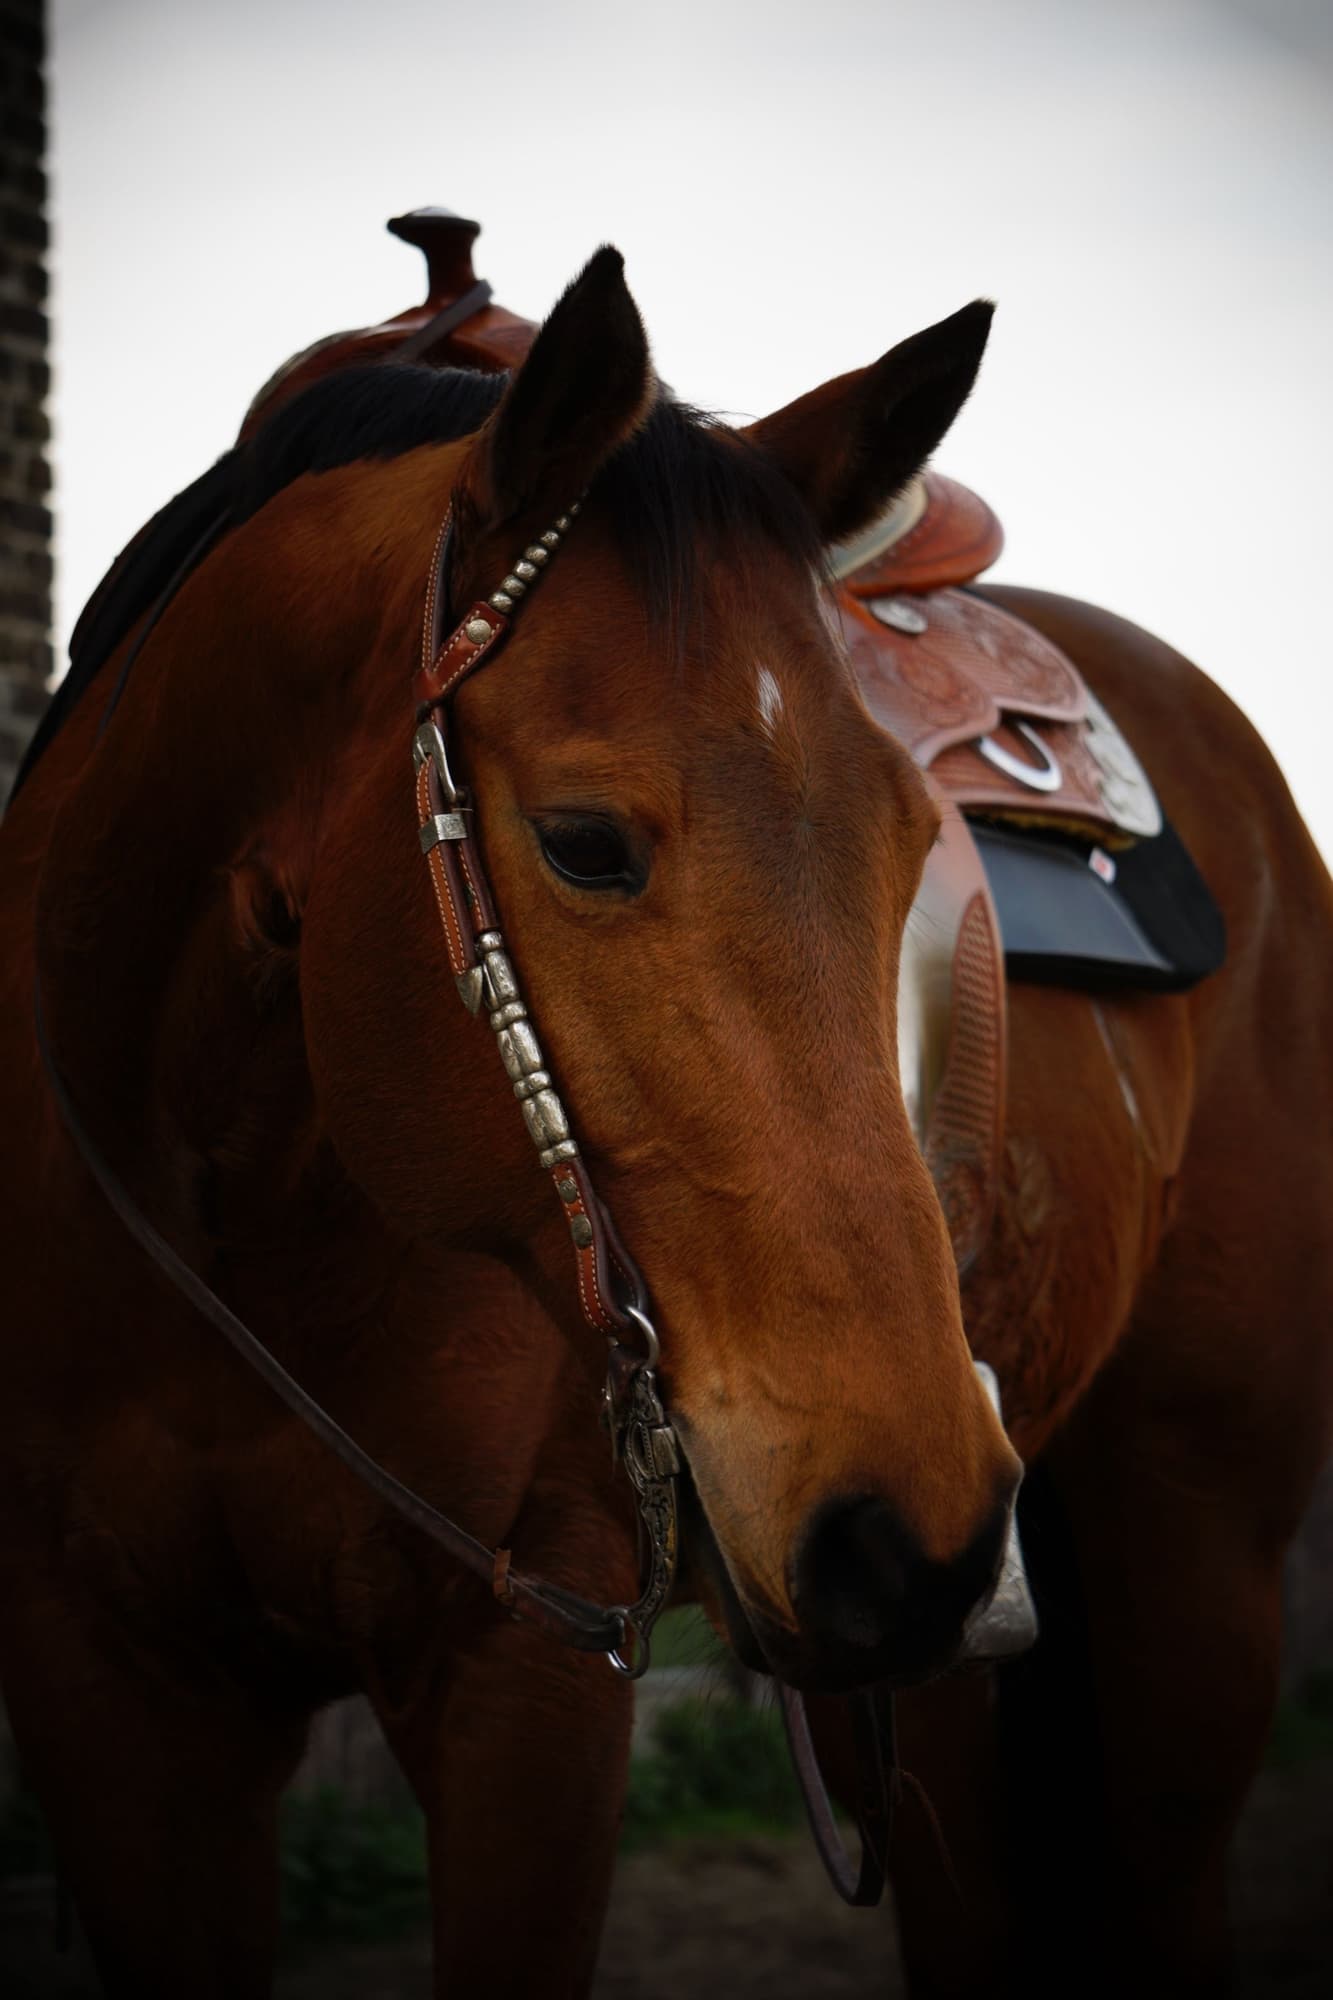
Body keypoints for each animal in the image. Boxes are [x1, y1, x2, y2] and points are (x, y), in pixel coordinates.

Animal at [0, 236, 1329, 2000]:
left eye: (908, 837)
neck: (234, 1222)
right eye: (581, 841)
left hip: (1190, 1562)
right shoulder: (116, 1702)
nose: (909, 1516)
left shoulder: (533, 1683)